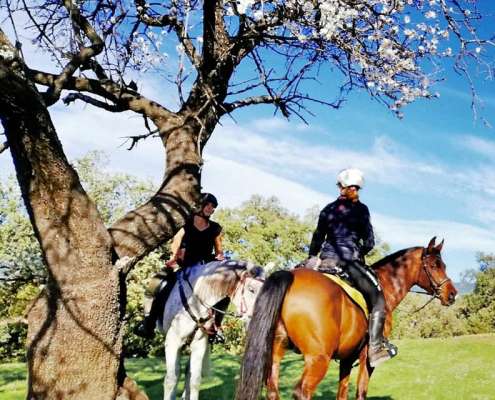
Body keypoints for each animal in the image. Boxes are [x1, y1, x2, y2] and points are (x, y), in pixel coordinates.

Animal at [161, 260, 266, 400]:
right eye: (251, 289)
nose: (259, 319)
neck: (196, 302)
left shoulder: (199, 344)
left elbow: (194, 380)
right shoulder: (173, 342)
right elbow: (171, 379)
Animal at [235, 238, 458, 400]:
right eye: (435, 265)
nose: (452, 294)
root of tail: (290, 275)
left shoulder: (347, 358)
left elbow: (342, 392)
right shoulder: (367, 358)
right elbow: (360, 392)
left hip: (276, 351)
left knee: (273, 391)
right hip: (318, 359)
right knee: (302, 392)